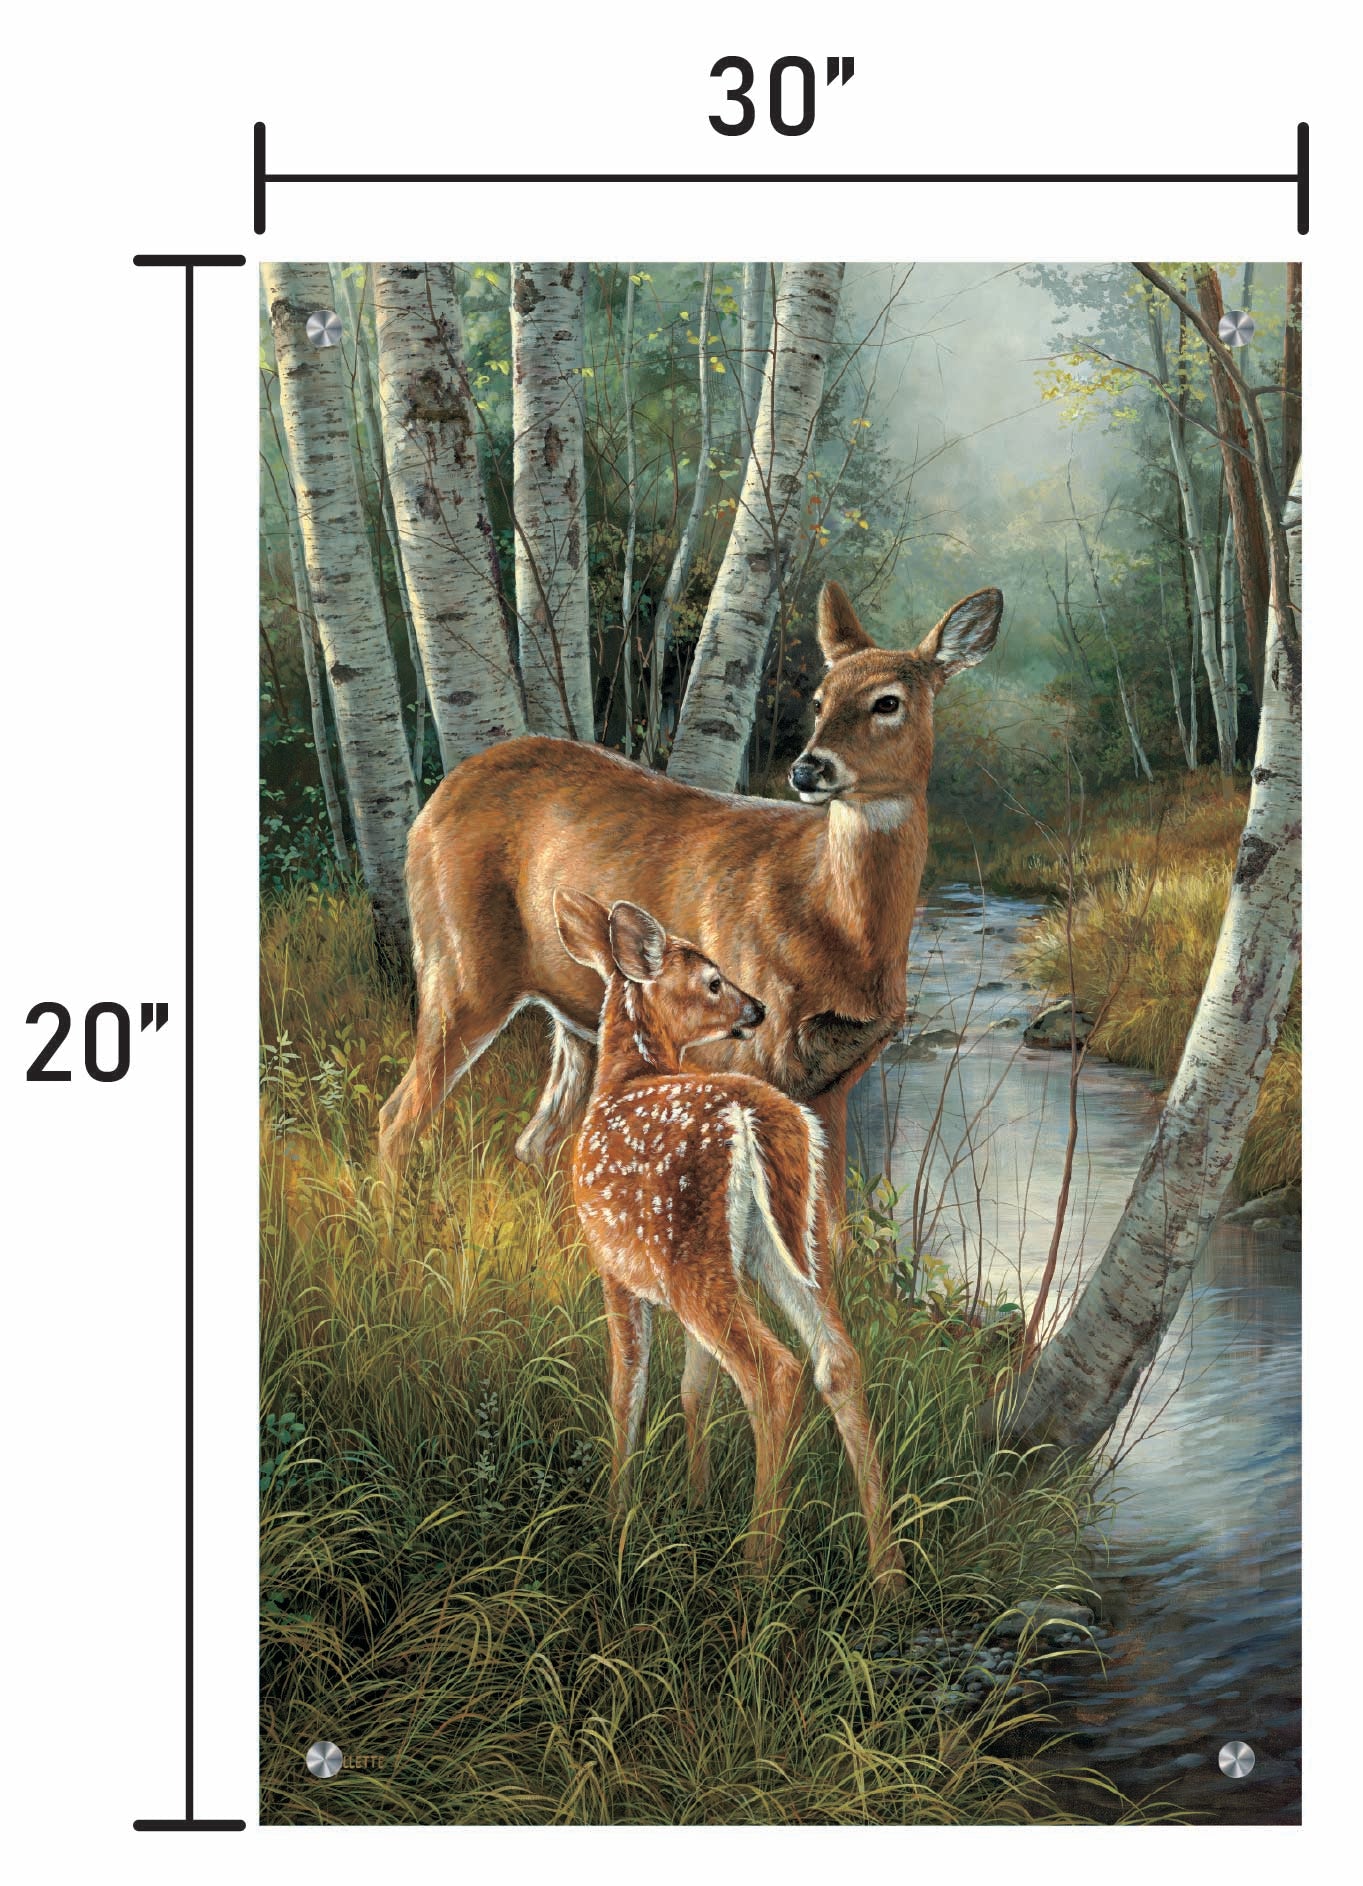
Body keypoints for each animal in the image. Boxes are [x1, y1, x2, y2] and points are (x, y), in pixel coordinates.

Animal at [378, 580, 1002, 1214]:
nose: (808, 769)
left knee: (535, 1141)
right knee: (397, 1113)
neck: (838, 924)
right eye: (820, 701)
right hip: (458, 968)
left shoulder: (835, 1077)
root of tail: (434, 802)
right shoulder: (739, 1057)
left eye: (888, 702)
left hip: (574, 1021)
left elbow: (828, 1218)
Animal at [553, 887, 906, 1585]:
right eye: (714, 981)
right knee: (837, 1360)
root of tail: (757, 1116)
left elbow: (628, 1389)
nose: (757, 1009)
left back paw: (755, 1567)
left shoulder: (613, 1267)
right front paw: (696, 1499)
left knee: (774, 1371)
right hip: (791, 1246)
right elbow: (694, 1390)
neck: (624, 1077)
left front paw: (616, 1514)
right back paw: (888, 1572)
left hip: (692, 1251)